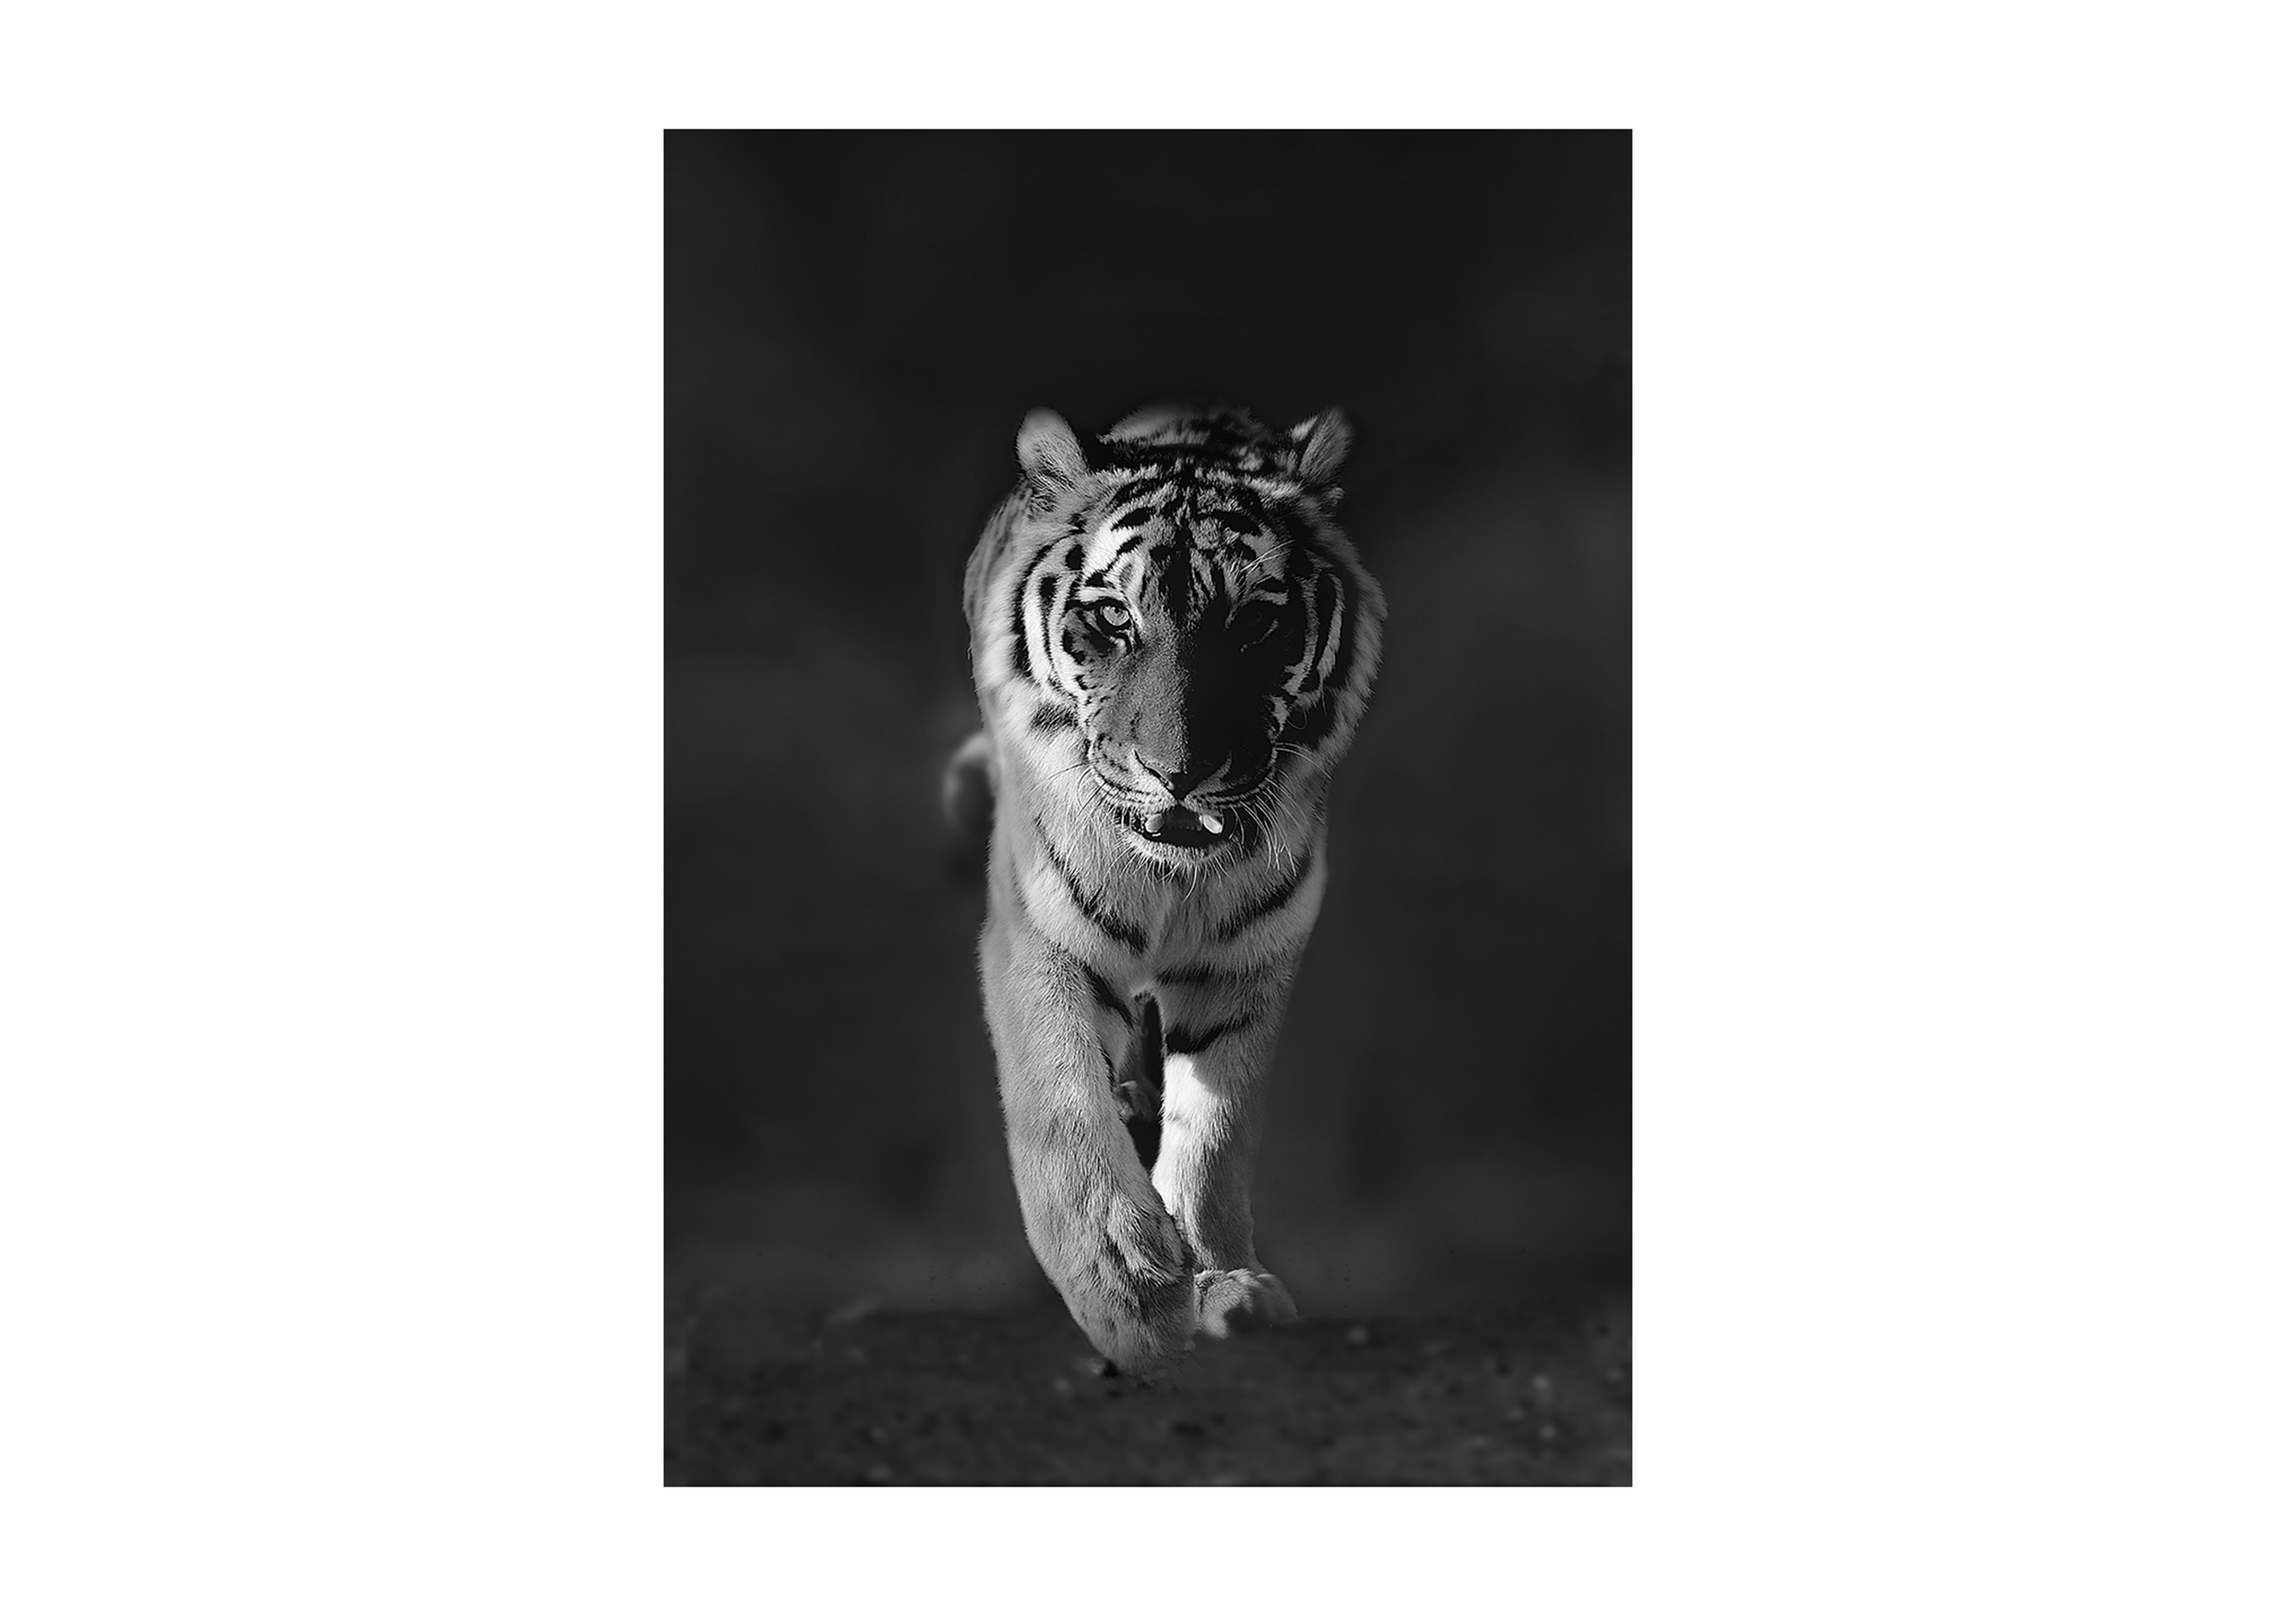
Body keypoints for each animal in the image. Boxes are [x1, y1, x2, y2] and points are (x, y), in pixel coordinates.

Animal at [946, 402, 1385, 1376]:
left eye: (1254, 624)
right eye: (1114, 617)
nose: (1178, 774)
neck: (1173, 881)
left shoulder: (1250, 960)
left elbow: (1216, 1135)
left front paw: (1225, 1286)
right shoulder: (1041, 934)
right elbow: (1060, 1106)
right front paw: (1130, 1294)